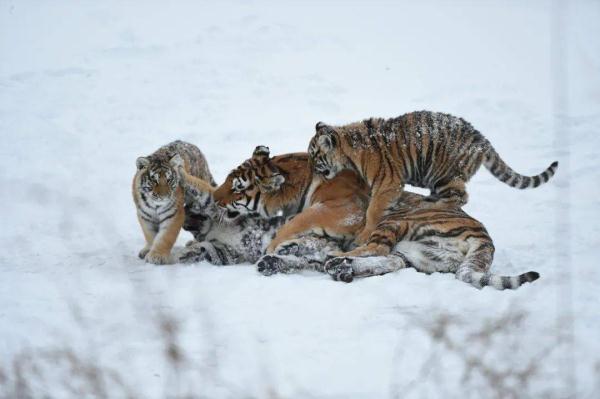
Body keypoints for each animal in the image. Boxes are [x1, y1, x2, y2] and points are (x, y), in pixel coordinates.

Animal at [310, 111, 556, 245]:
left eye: (315, 156)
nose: (312, 170)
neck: (348, 150)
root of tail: (482, 139)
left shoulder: (388, 183)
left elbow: (373, 211)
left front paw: (363, 235)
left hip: (444, 175)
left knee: (460, 197)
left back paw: (429, 204)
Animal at [322, 191, 540, 290]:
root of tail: (485, 238)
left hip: (398, 220)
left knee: (377, 248)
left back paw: (335, 259)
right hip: (418, 255)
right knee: (389, 261)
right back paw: (340, 265)